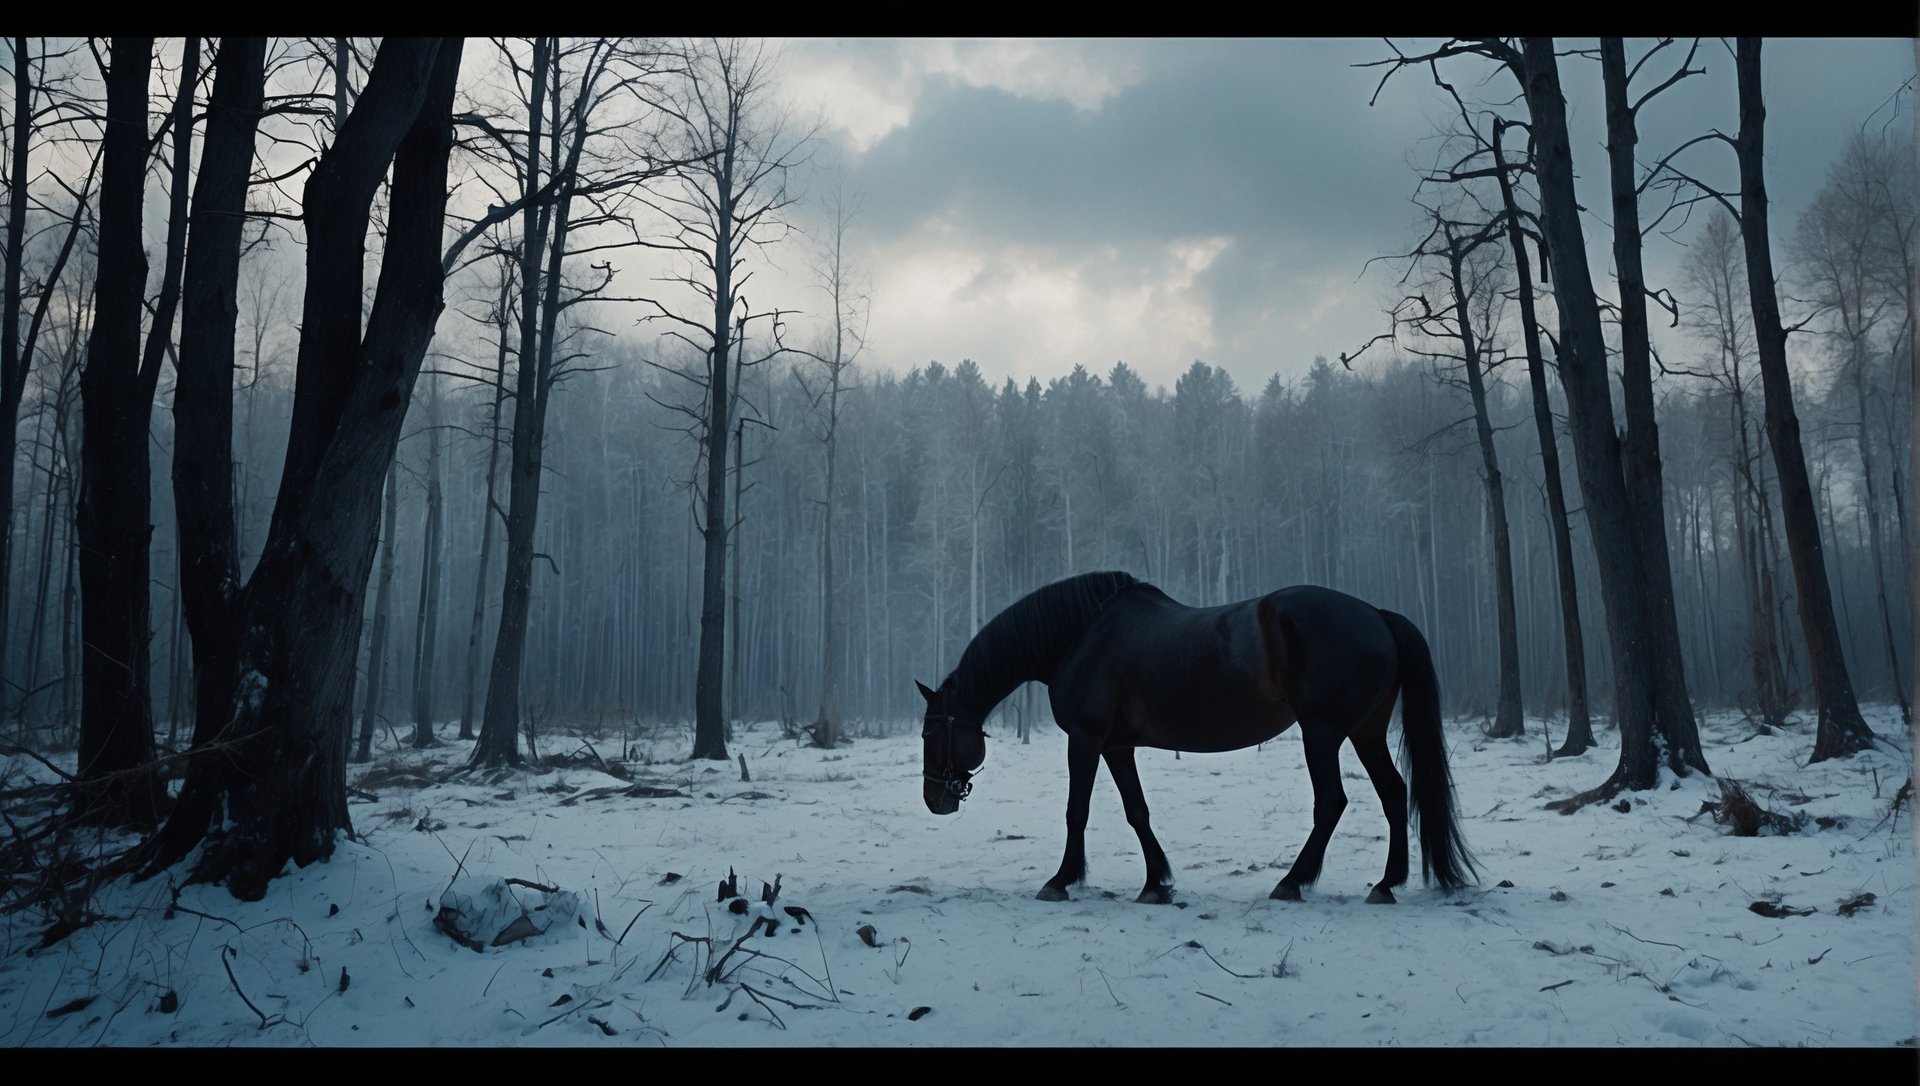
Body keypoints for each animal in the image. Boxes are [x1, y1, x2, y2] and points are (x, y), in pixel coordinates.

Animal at [921, 575, 1474, 905]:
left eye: (931, 733)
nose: (935, 799)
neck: (1080, 636)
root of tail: (1377, 615)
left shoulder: (1085, 739)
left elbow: (1076, 811)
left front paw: (1061, 880)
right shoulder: (1116, 746)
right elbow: (1137, 812)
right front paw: (1155, 883)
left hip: (1322, 734)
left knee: (1332, 803)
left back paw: (1292, 882)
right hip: (1364, 732)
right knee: (1394, 794)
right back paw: (1386, 883)